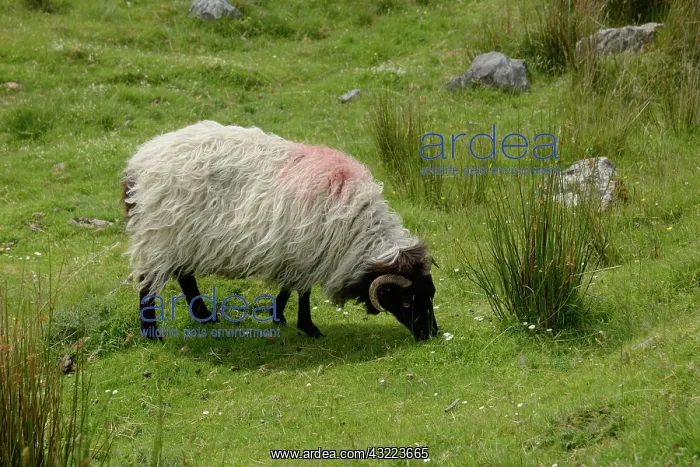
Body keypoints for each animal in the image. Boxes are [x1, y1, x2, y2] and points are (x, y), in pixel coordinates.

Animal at [121, 120, 439, 340]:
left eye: (431, 296)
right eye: (407, 302)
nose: (432, 334)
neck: (356, 230)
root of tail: (136, 164)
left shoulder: (297, 251)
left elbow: (290, 288)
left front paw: (280, 316)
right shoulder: (307, 250)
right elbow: (303, 292)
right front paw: (308, 327)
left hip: (181, 238)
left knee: (185, 277)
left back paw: (204, 315)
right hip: (159, 235)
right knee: (148, 285)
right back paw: (152, 334)